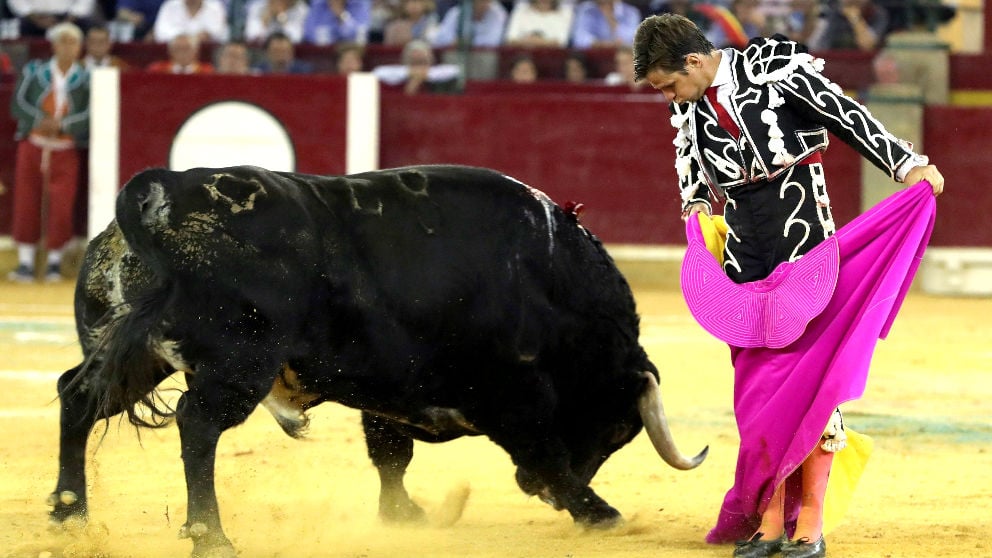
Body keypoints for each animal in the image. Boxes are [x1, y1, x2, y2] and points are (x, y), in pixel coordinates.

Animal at [52, 166, 704, 558]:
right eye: (618, 430)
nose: (532, 493)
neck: (547, 281)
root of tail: (163, 194)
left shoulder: (392, 392)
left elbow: (391, 454)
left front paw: (404, 515)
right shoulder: (514, 396)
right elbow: (547, 453)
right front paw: (601, 513)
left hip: (136, 353)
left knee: (77, 397)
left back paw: (69, 513)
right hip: (239, 366)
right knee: (198, 424)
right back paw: (211, 535)